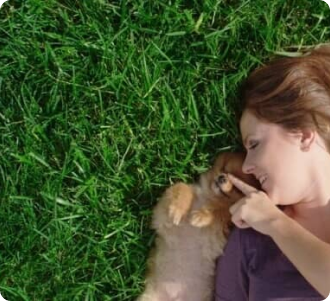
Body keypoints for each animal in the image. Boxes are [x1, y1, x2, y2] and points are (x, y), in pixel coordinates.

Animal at [137, 152, 260, 300]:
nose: (222, 177)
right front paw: (178, 209)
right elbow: (182, 186)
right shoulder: (161, 216)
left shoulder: (218, 230)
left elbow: (222, 211)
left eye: (237, 187)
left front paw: (201, 215)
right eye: (224, 169)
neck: (207, 198)